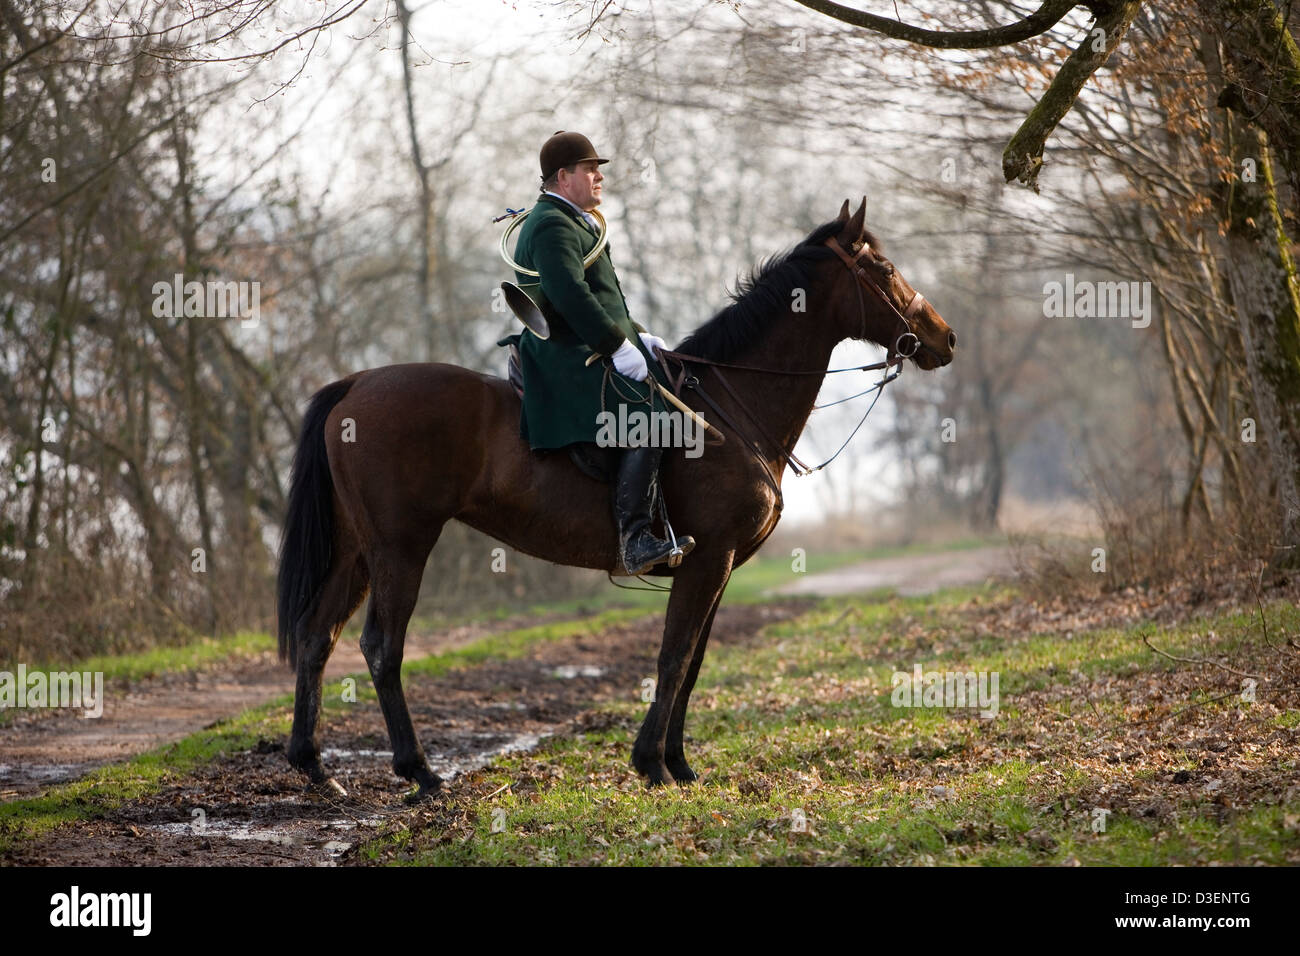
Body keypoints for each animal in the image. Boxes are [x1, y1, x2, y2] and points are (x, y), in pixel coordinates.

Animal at [274, 196, 956, 801]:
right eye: (883, 268)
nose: (945, 338)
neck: (731, 408)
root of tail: (356, 383)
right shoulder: (709, 558)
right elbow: (674, 656)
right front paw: (652, 764)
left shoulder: (720, 565)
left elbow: (693, 662)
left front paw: (679, 765)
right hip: (400, 546)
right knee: (381, 648)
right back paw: (419, 772)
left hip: (357, 550)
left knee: (317, 635)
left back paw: (315, 768)